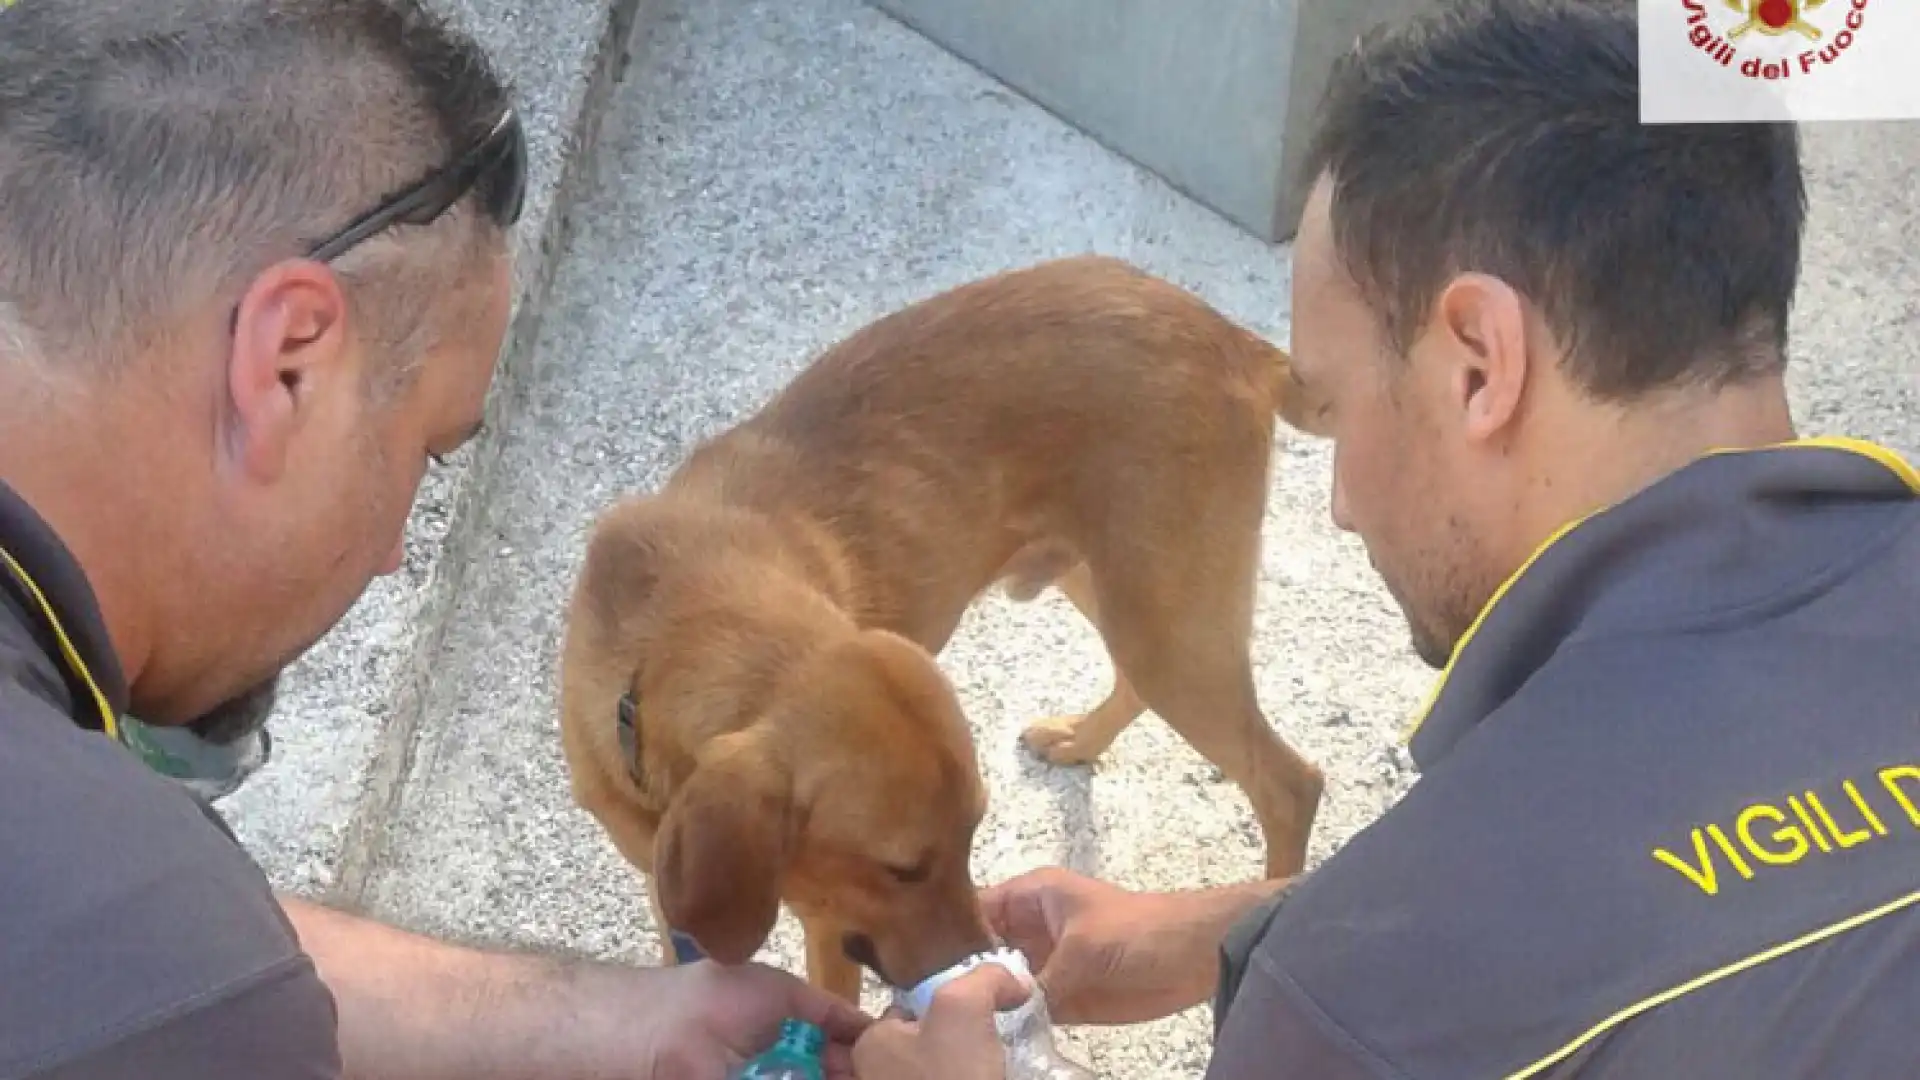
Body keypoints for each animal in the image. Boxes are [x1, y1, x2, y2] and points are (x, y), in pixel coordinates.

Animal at [560, 253, 1328, 999]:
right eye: (901, 868)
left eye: (973, 833)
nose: (992, 966)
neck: (675, 616)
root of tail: (1236, 339)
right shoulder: (674, 900)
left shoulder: (828, 931)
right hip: (1115, 588)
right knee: (1139, 683)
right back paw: (1081, 740)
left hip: (1164, 619)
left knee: (1291, 785)